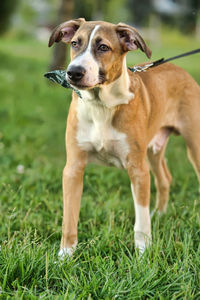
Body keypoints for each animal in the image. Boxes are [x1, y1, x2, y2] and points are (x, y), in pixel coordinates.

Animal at [48, 18, 200, 258]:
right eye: (74, 43)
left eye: (103, 47)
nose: (73, 72)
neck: (101, 105)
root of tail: (180, 69)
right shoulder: (73, 168)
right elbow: (69, 219)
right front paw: (64, 256)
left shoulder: (137, 168)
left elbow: (141, 221)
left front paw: (143, 254)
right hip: (153, 150)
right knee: (164, 178)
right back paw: (160, 214)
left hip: (194, 145)